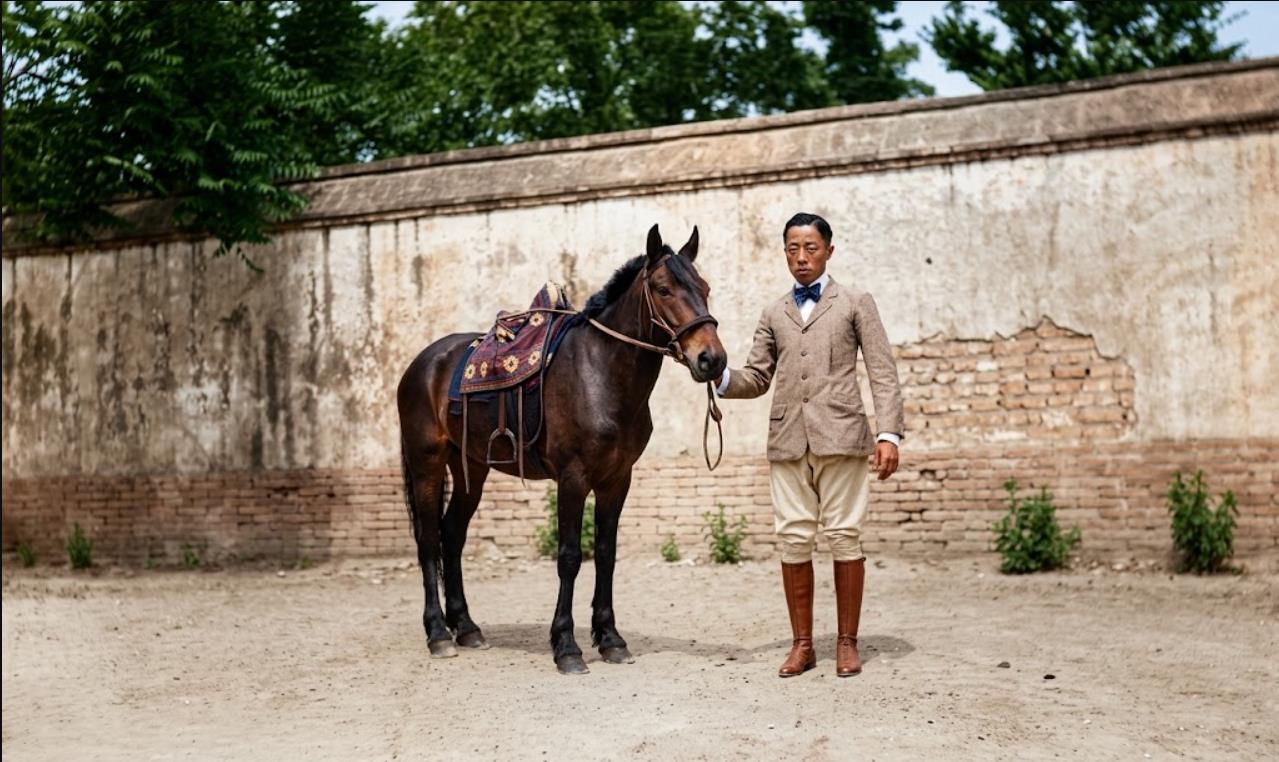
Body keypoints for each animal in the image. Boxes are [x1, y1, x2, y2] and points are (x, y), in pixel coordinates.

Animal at [397, 224, 727, 674]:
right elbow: (570, 556)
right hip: (426, 464)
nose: (712, 359)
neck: (600, 373)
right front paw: (567, 646)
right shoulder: (572, 478)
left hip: (471, 469)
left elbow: (605, 553)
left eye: (705, 287)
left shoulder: (616, 480)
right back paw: (438, 633)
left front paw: (610, 639)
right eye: (663, 289)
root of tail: (422, 363)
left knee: (452, 534)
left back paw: (465, 627)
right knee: (429, 538)